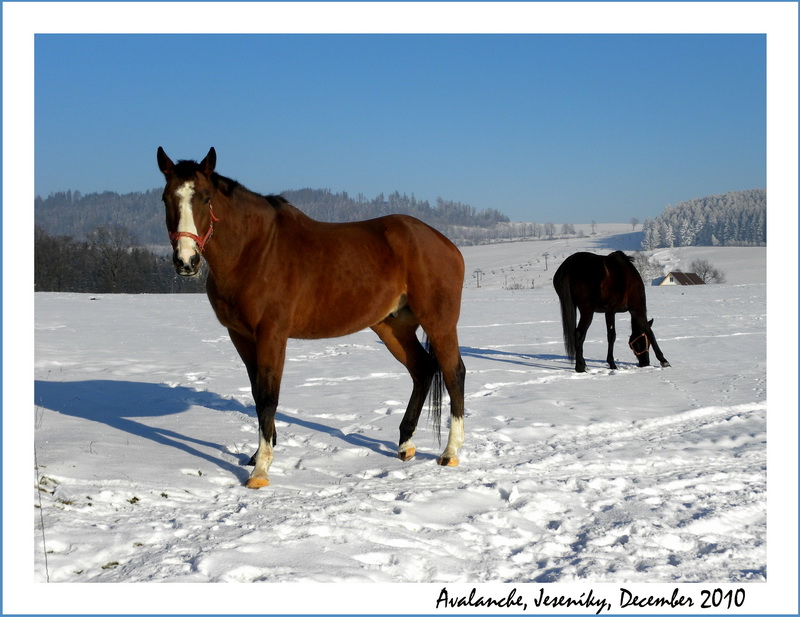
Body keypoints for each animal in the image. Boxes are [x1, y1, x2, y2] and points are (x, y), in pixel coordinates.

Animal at [156, 147, 466, 488]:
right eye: (166, 198)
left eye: (205, 197)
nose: (186, 260)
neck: (256, 251)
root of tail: (445, 243)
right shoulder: (241, 337)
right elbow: (256, 394)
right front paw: (257, 455)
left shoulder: (272, 335)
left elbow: (268, 397)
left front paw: (260, 470)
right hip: (393, 328)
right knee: (422, 370)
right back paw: (406, 445)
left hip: (439, 323)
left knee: (454, 373)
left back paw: (450, 453)